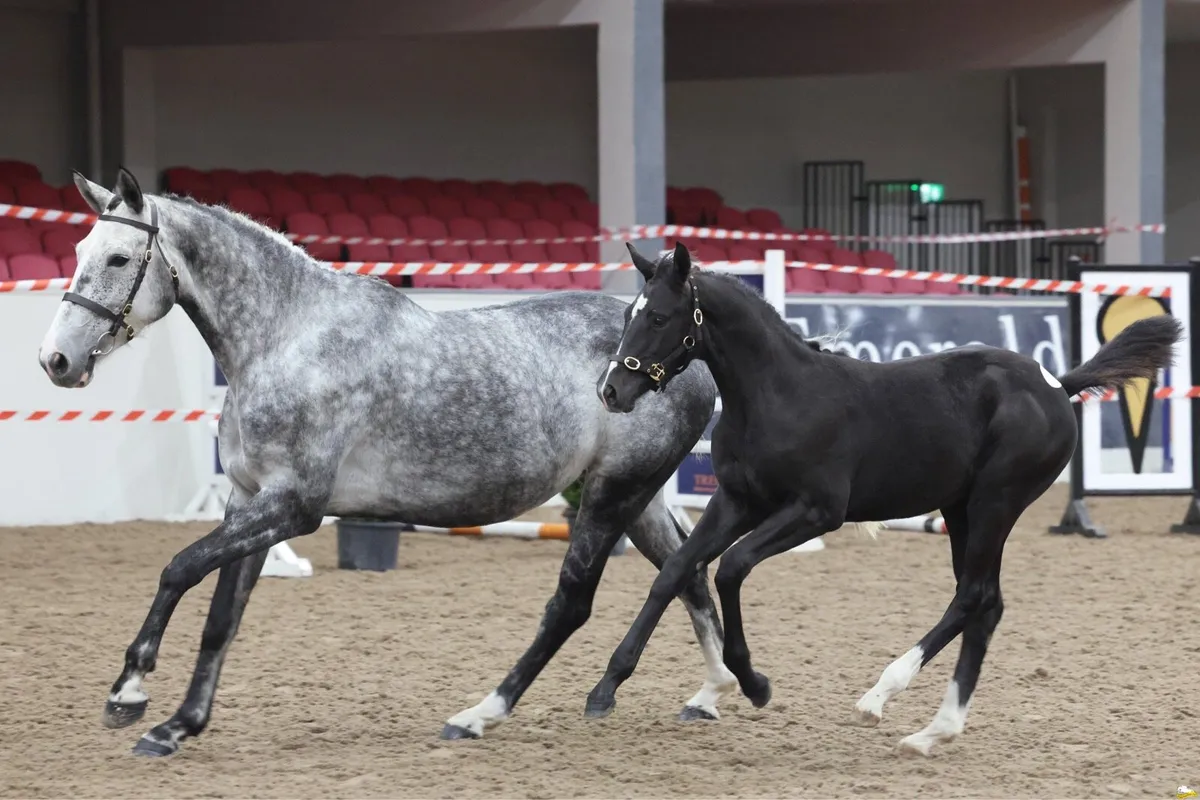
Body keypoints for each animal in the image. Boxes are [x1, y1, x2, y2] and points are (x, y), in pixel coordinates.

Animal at [36, 168, 737, 757]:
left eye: (118, 258)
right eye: (78, 252)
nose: (56, 360)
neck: (287, 339)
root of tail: (688, 354)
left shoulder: (293, 508)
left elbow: (178, 570)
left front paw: (129, 693)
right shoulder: (246, 502)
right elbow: (221, 620)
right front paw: (178, 725)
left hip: (612, 494)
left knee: (573, 604)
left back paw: (478, 715)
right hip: (637, 497)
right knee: (687, 573)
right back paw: (709, 693)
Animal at [584, 241, 1183, 756]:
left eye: (659, 318)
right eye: (627, 315)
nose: (610, 391)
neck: (777, 396)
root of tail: (1057, 382)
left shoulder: (816, 511)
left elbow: (731, 568)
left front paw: (754, 683)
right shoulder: (736, 501)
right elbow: (676, 570)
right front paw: (606, 687)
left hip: (996, 502)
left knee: (972, 596)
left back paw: (879, 697)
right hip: (960, 509)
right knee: (986, 602)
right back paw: (933, 732)